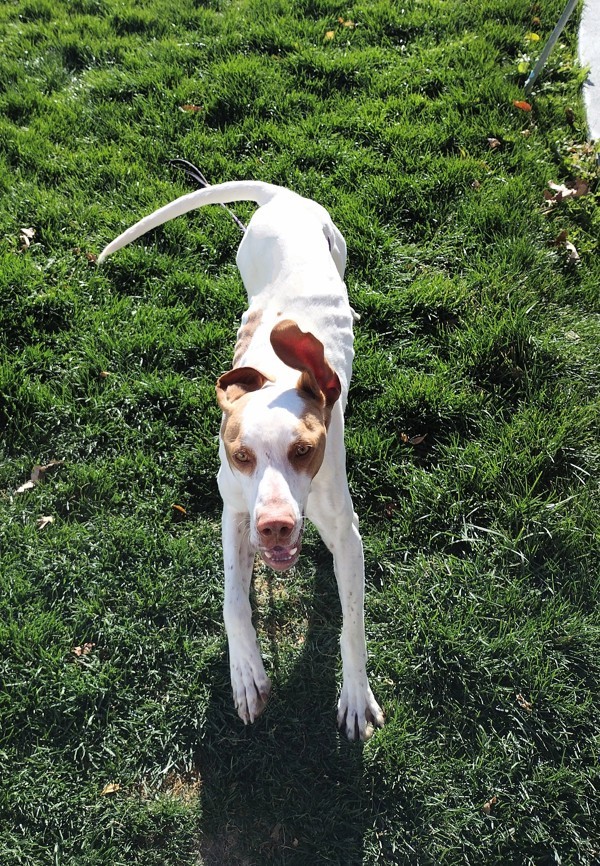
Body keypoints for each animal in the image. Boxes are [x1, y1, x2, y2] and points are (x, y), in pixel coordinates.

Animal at [99, 181, 384, 736]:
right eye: (241, 455)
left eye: (304, 451)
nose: (274, 526)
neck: (276, 373)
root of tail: (282, 196)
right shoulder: (233, 512)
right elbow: (233, 601)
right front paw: (246, 671)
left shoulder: (346, 534)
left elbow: (353, 624)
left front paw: (356, 694)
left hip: (335, 246)